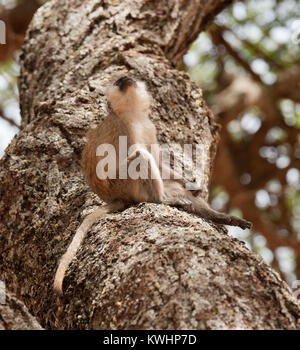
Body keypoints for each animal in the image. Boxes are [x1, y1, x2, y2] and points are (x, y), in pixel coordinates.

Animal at [53, 75, 251, 294]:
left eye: (127, 78)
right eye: (119, 82)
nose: (125, 79)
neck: (133, 115)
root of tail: (115, 197)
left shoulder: (150, 127)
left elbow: (159, 161)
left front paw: (190, 182)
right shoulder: (122, 128)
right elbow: (135, 156)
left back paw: (219, 216)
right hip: (121, 184)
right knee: (141, 157)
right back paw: (163, 199)